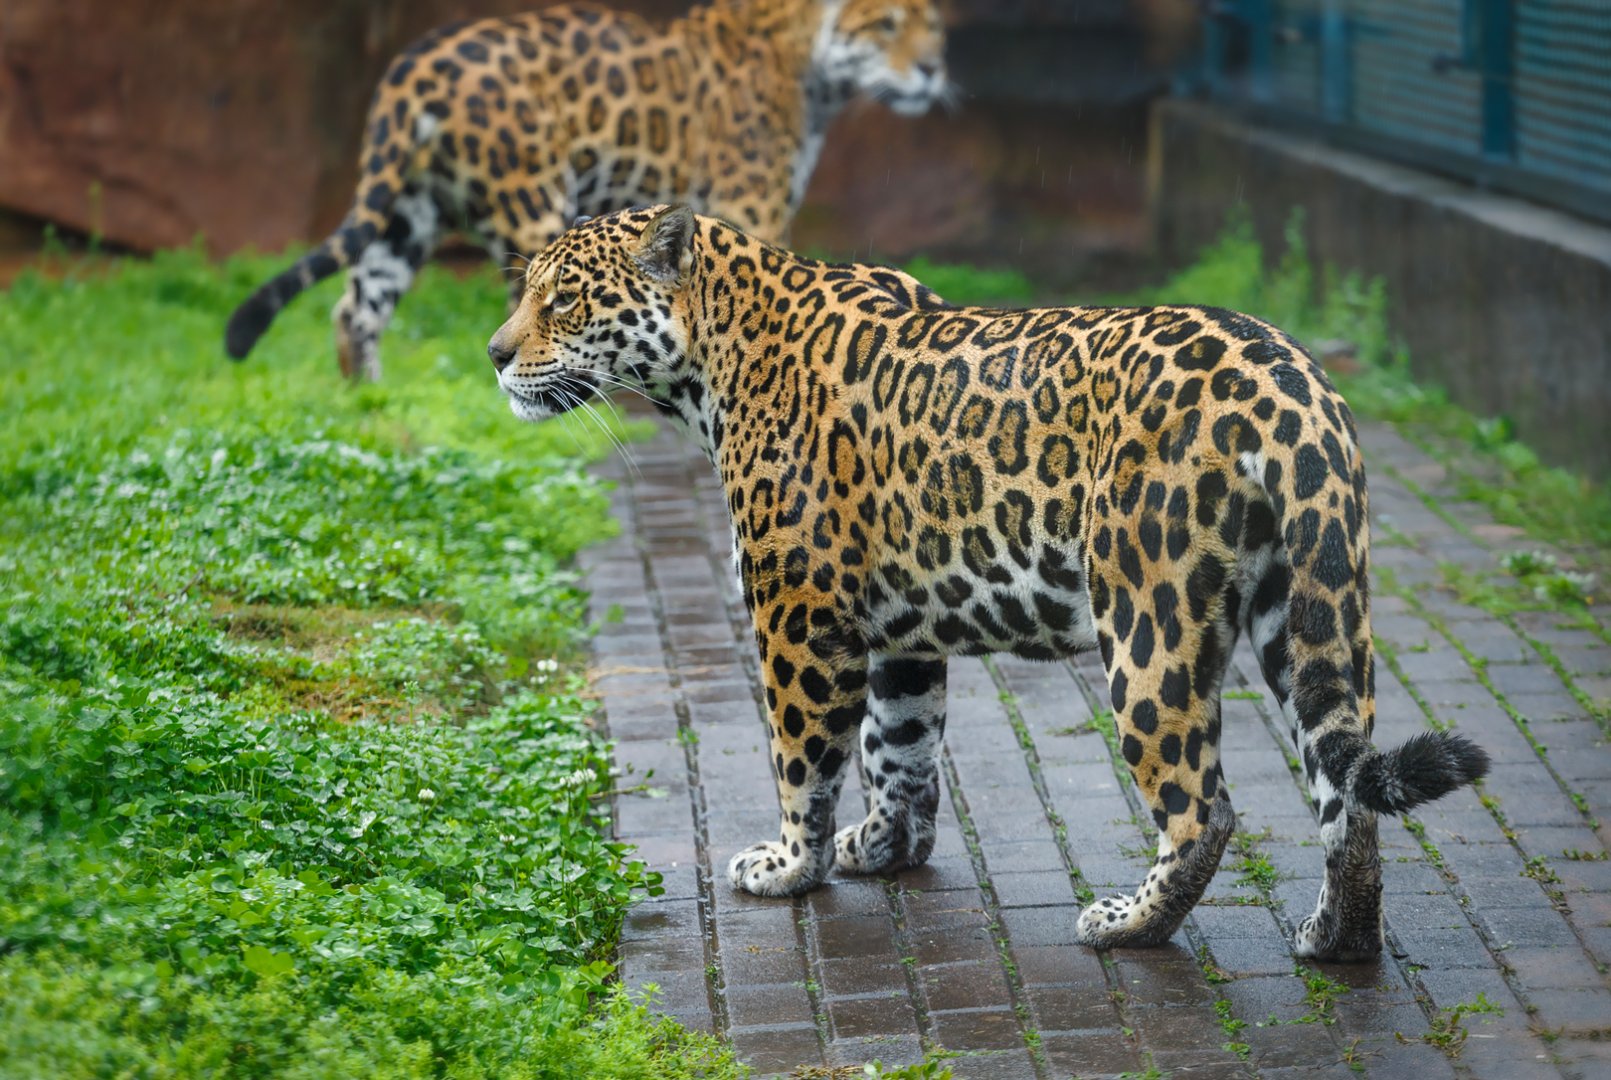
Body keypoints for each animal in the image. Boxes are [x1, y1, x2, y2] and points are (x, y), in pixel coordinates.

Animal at [223, 0, 948, 382]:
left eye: (934, 28)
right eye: (886, 25)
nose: (934, 70)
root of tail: (415, 66)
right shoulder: (752, 200)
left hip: (407, 212)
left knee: (357, 310)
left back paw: (367, 404)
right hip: (530, 199)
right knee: (523, 319)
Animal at [486, 205, 1491, 961]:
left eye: (562, 299)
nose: (495, 354)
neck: (712, 362)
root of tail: (1291, 387)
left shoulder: (797, 617)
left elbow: (802, 758)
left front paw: (790, 866)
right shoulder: (898, 631)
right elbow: (897, 749)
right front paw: (883, 849)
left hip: (1147, 618)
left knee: (1203, 808)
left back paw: (1126, 925)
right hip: (1312, 606)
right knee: (1345, 787)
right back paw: (1337, 939)